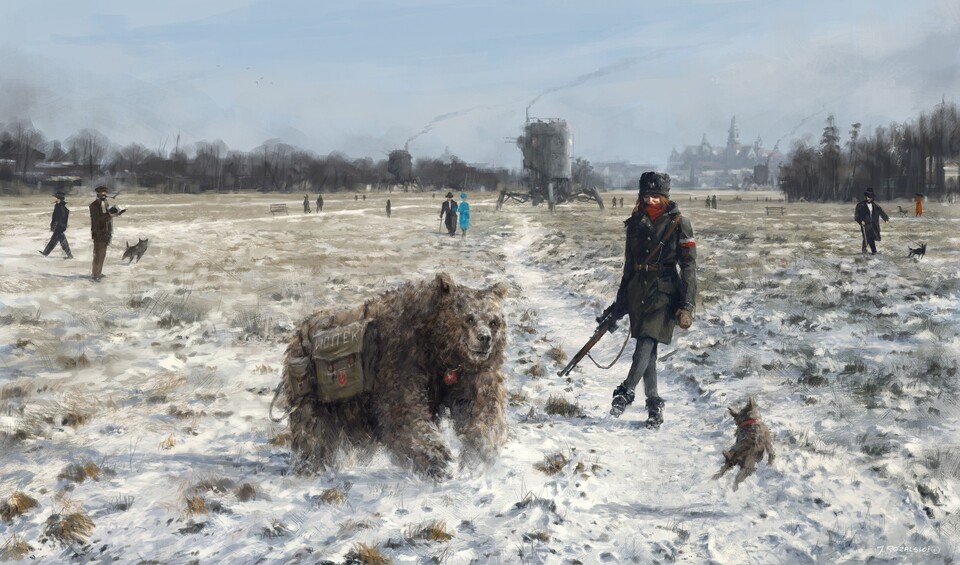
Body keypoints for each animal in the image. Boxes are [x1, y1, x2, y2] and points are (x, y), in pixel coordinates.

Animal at [280, 274, 510, 480]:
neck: (439, 349)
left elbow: (480, 407)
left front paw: (479, 455)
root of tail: (299, 331)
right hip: (311, 389)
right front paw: (436, 459)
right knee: (313, 431)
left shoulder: (467, 374)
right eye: (469, 318)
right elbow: (403, 412)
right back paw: (310, 466)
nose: (484, 338)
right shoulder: (399, 361)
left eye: (493, 321)